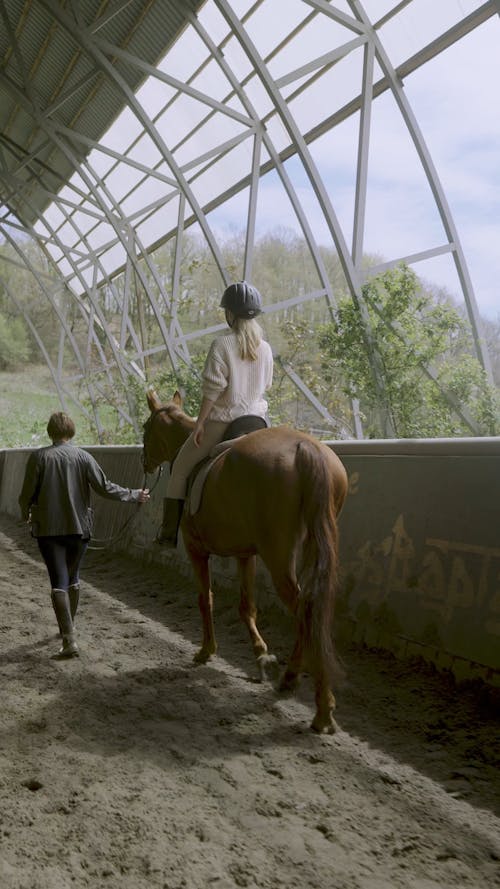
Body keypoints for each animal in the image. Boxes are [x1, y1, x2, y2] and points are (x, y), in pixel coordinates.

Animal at [143, 392, 348, 732]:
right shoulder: (245, 554)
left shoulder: (196, 549)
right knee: (312, 610)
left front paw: (206, 651)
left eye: (146, 428)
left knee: (305, 611)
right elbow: (246, 606)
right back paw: (294, 681)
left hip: (278, 554)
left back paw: (318, 706)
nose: (145, 462)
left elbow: (205, 598)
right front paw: (261, 655)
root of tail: (305, 448)